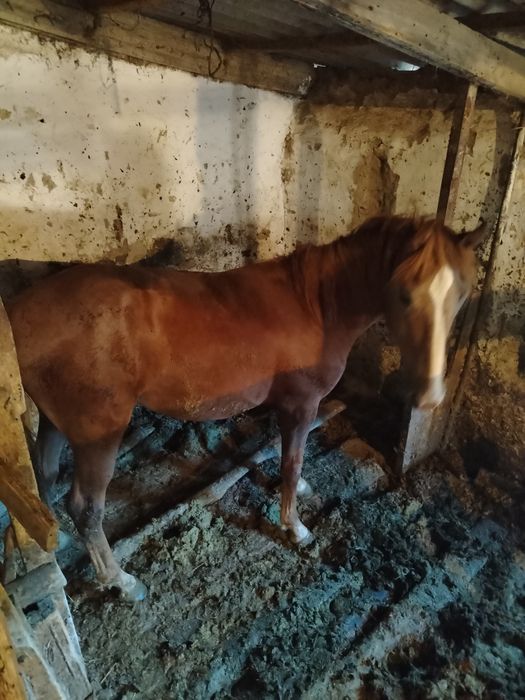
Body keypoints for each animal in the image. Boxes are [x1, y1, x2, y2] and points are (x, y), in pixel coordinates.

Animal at [6, 215, 485, 601]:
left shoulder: (289, 406)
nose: (430, 396)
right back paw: (120, 581)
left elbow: (289, 455)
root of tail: (17, 313)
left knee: (45, 475)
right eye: (404, 294)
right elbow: (292, 461)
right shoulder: (302, 404)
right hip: (98, 435)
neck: (317, 306)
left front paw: (300, 492)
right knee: (86, 507)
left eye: (462, 293)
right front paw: (295, 528)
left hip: (55, 423)